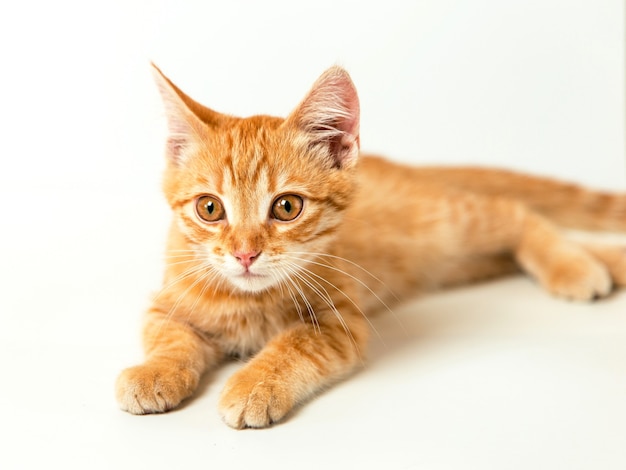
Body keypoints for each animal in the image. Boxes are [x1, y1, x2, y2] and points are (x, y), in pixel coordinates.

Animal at [114, 64, 624, 428]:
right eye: (209, 209)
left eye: (286, 207)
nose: (244, 254)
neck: (250, 301)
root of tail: (409, 169)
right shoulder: (164, 300)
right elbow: (170, 335)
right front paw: (154, 371)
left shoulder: (341, 324)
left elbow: (295, 343)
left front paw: (254, 384)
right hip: (460, 260)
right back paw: (605, 261)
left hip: (452, 223)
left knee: (519, 214)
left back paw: (576, 267)